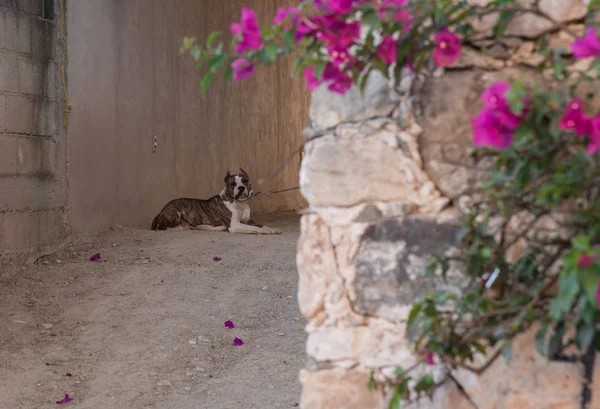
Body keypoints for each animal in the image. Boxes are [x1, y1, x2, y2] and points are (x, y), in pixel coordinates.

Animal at [150, 168, 282, 233]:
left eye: (245, 180)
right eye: (233, 184)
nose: (241, 188)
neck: (240, 204)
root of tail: (162, 210)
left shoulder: (249, 221)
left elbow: (261, 225)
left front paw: (271, 229)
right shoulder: (234, 225)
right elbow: (255, 228)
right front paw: (265, 231)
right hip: (176, 213)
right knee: (159, 227)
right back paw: (177, 228)